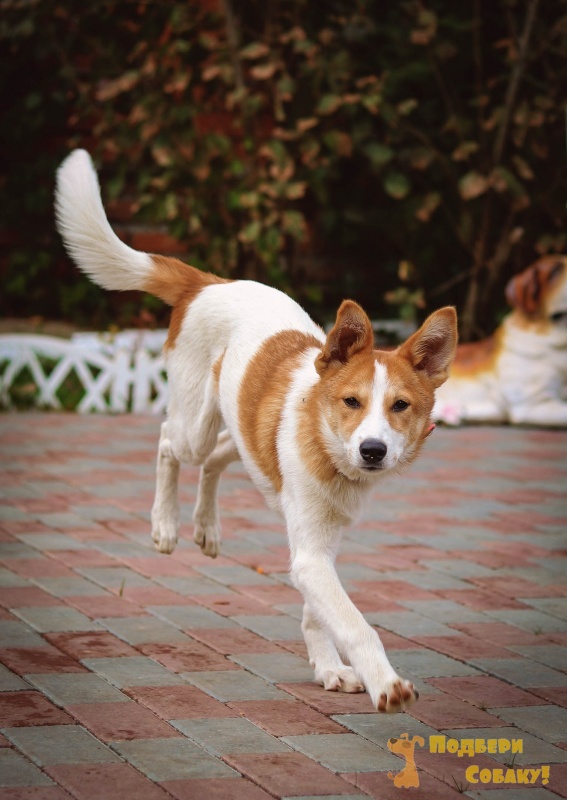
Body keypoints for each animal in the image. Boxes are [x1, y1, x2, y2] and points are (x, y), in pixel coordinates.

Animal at [55, 150, 460, 712]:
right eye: (351, 402)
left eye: (400, 406)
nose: (373, 450)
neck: (327, 448)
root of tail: (209, 283)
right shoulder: (312, 554)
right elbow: (354, 624)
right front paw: (384, 682)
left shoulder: (320, 546)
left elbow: (320, 611)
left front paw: (328, 668)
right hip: (196, 423)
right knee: (169, 442)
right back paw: (165, 524)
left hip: (242, 436)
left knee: (216, 459)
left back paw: (206, 526)